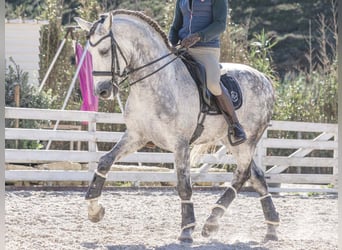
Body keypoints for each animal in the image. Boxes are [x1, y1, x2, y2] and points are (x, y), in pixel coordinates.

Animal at [75, 10, 278, 244]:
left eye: (105, 50)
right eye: (90, 54)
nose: (102, 91)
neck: (155, 82)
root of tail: (265, 79)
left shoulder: (180, 144)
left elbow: (184, 186)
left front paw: (187, 230)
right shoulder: (136, 136)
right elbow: (104, 161)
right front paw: (94, 209)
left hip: (246, 141)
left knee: (243, 174)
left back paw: (213, 222)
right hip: (231, 142)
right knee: (256, 176)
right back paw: (269, 228)